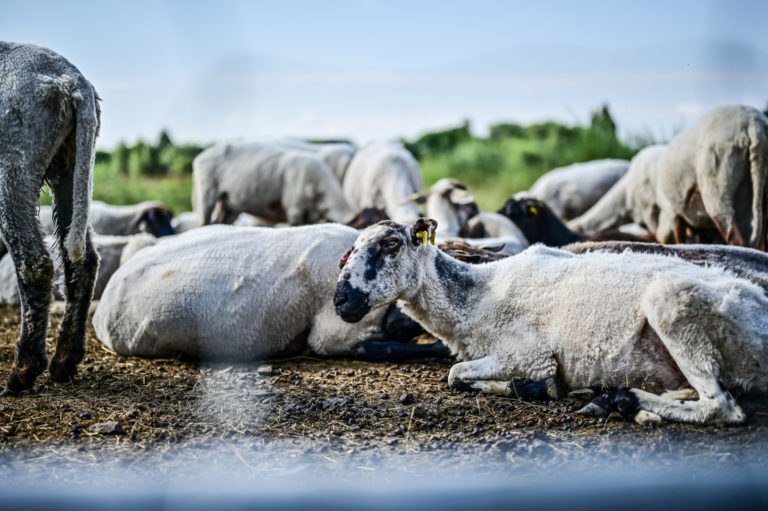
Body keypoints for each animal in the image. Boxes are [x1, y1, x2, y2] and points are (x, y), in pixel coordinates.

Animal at [0, 43, 100, 396]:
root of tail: (71, 80)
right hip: (71, 163)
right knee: (83, 258)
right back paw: (64, 362)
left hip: (15, 161)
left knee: (35, 262)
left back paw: (22, 372)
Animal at [192, 141, 354, 227]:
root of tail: (199, 157)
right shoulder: (294, 208)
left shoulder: (310, 216)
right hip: (205, 195)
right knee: (203, 223)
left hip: (229, 204)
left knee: (219, 222)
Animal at [336, 218, 768, 426]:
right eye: (348, 251)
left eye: (391, 244)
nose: (342, 300)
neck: (477, 296)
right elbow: (458, 373)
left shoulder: (528, 354)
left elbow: (457, 374)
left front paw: (534, 387)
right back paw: (617, 399)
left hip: (674, 306)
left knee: (720, 407)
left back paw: (624, 400)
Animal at [568, 105, 768, 249]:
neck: (626, 197)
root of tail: (754, 125)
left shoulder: (663, 212)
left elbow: (668, 237)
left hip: (718, 182)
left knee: (735, 237)